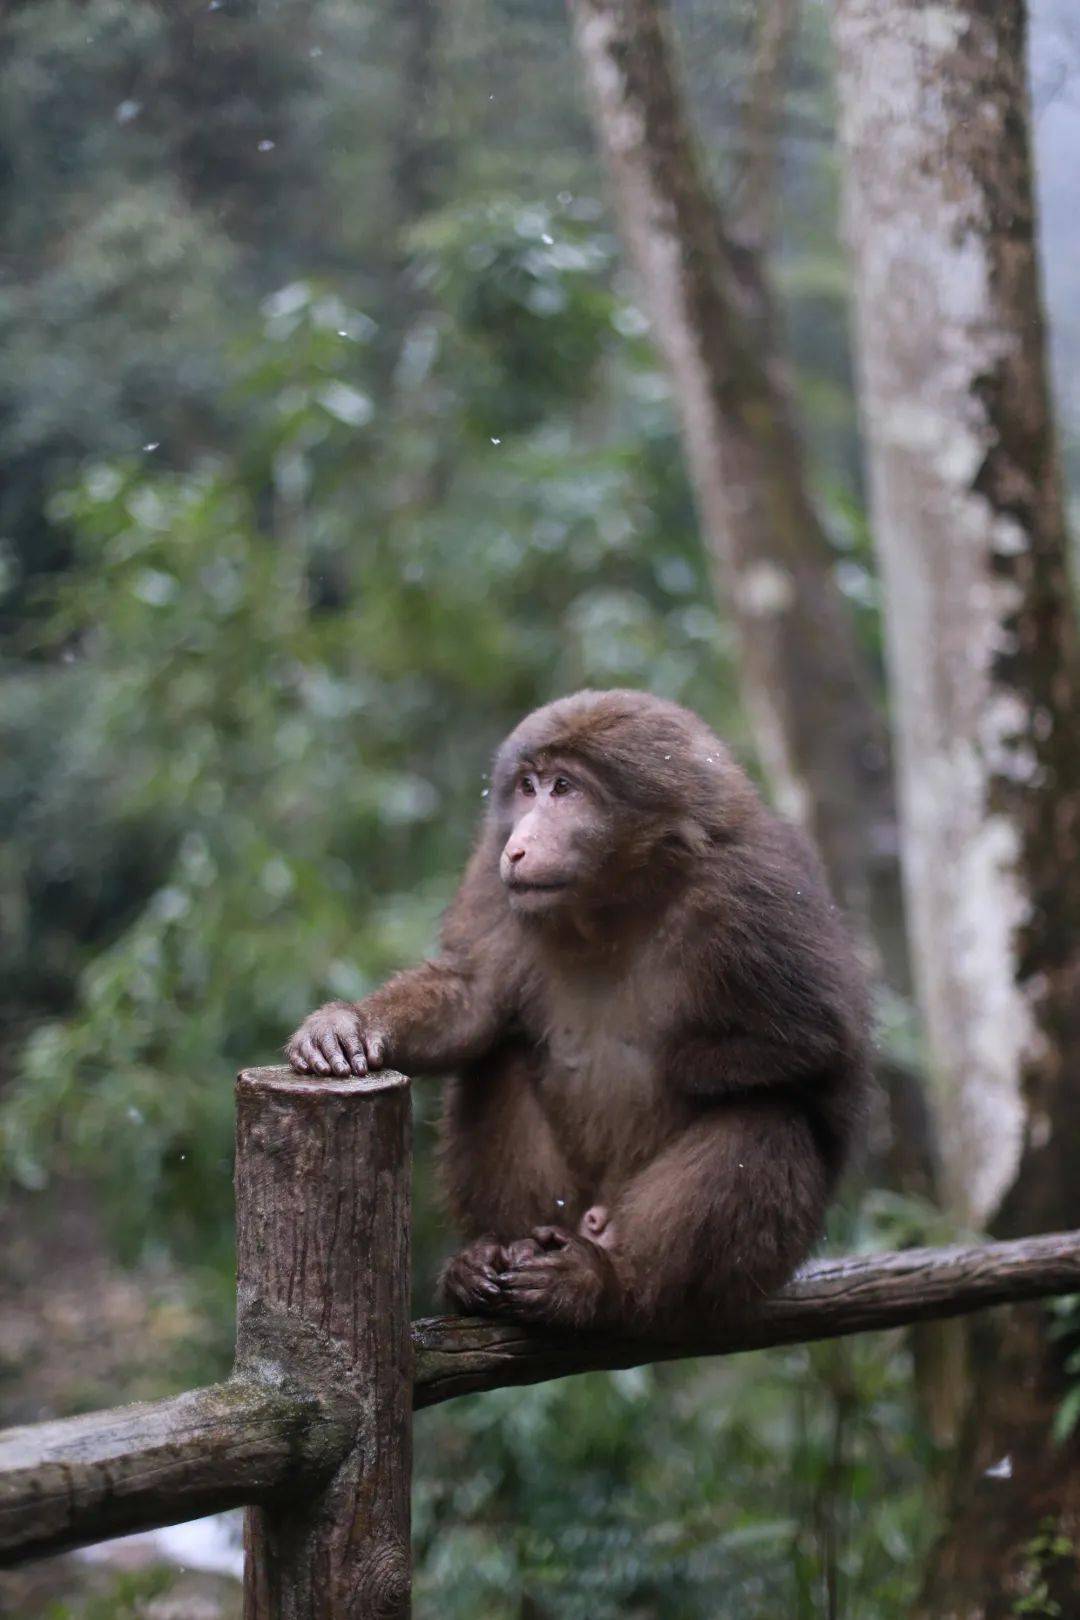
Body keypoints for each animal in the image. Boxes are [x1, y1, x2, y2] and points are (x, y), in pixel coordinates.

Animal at [284, 690, 867, 1334]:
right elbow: (475, 997)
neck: (615, 902)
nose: (519, 844)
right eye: (529, 786)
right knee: (500, 1058)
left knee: (768, 1118)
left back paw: (607, 1284)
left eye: (565, 788)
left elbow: (823, 1046)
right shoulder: (493, 876)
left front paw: (689, 1057)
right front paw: (346, 1025)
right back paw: (490, 1259)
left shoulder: (756, 890)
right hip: (560, 1204)